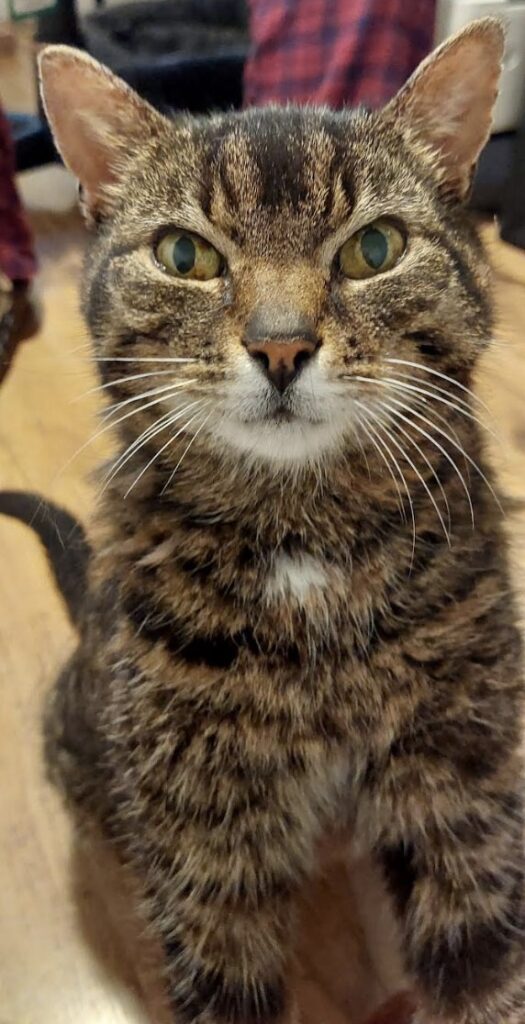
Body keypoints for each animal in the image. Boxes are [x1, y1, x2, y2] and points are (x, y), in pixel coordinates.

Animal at [25, 19, 525, 1024]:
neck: (303, 541)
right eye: (186, 256)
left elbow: (483, 969)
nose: (282, 343)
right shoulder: (202, 837)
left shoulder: (461, 771)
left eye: (374, 248)